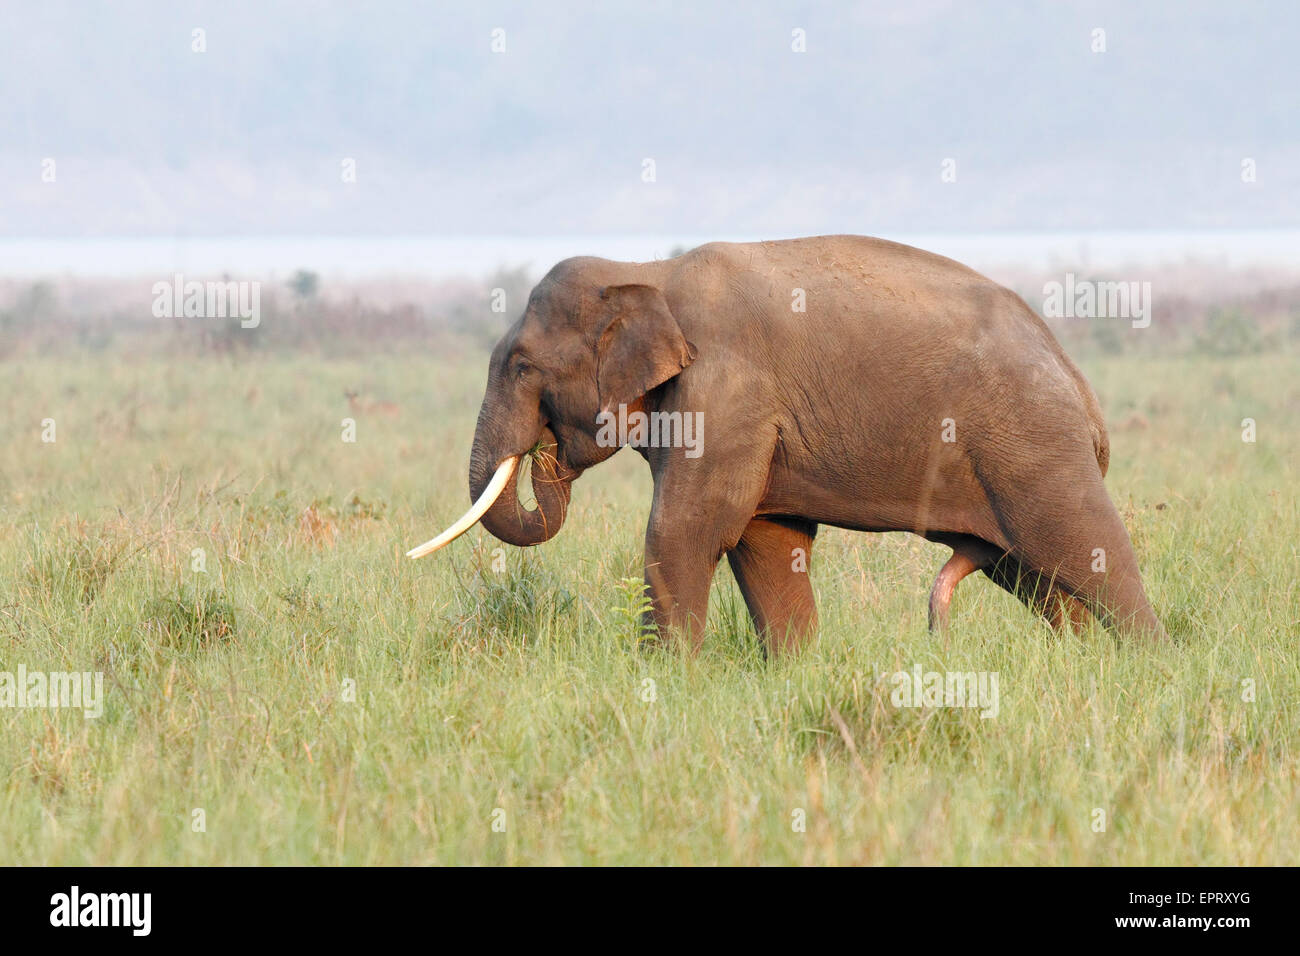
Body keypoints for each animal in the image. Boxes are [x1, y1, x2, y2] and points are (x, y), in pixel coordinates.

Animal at [413, 235, 1170, 655]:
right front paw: (792, 672)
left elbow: (688, 528)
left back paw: (1150, 664)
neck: (648, 271)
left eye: (519, 367)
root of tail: (1079, 382)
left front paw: (664, 681)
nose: (544, 450)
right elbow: (767, 540)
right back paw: (1082, 666)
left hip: (1033, 445)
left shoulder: (727, 390)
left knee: (1087, 551)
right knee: (1036, 575)